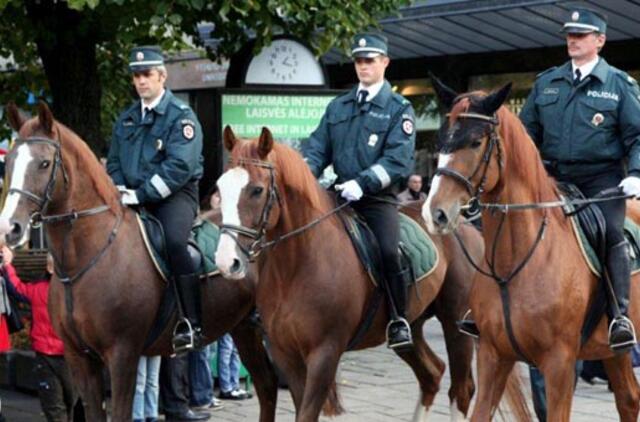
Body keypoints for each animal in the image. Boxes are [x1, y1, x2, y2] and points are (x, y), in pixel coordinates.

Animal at [0, 102, 278, 422]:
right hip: (243, 327)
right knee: (268, 386)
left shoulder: (122, 355)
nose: (10, 228)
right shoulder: (79, 358)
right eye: (9, 164)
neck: (86, 258)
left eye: (44, 163)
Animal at [212, 126, 528, 422]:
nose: (227, 262)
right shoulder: (285, 354)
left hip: (455, 324)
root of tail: (466, 227)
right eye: (220, 187)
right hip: (412, 327)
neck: (296, 267)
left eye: (256, 190)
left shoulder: (325, 354)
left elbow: (307, 412)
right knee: (432, 374)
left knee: (461, 389)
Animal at [422, 80, 640, 422]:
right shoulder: (492, 356)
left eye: (476, 141)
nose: (436, 213)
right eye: (440, 139)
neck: (514, 264)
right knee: (629, 400)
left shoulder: (560, 364)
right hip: (613, 352)